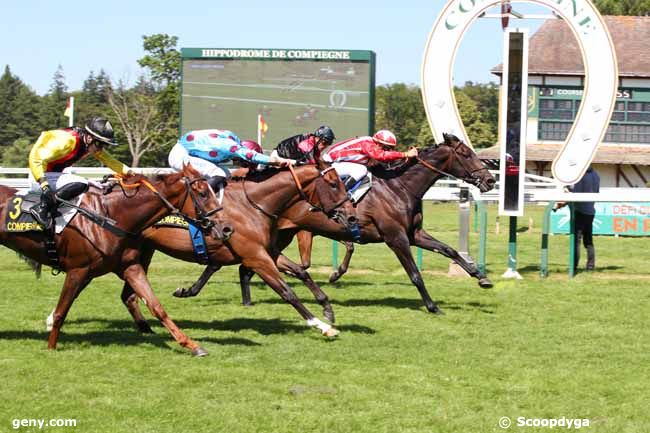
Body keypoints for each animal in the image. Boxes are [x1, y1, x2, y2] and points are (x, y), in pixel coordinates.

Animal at [1, 164, 221, 356]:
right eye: (203, 193)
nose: (222, 227)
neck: (110, 216)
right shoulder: (77, 270)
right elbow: (61, 311)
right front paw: (51, 347)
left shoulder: (130, 267)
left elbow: (156, 306)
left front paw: (192, 346)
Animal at [118, 162, 356, 334]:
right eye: (334, 183)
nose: (352, 215)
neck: (252, 205)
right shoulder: (255, 258)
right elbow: (287, 291)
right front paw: (320, 325)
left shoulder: (268, 252)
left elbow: (301, 272)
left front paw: (327, 309)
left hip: (142, 252)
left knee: (128, 296)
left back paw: (146, 329)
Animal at [170, 134, 494, 318]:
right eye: (466, 154)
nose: (490, 179)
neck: (399, 187)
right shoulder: (396, 237)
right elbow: (415, 274)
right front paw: (432, 306)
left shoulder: (414, 234)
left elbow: (450, 250)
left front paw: (481, 277)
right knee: (223, 263)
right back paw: (193, 291)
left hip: (280, 234)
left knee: (242, 265)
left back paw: (241, 299)